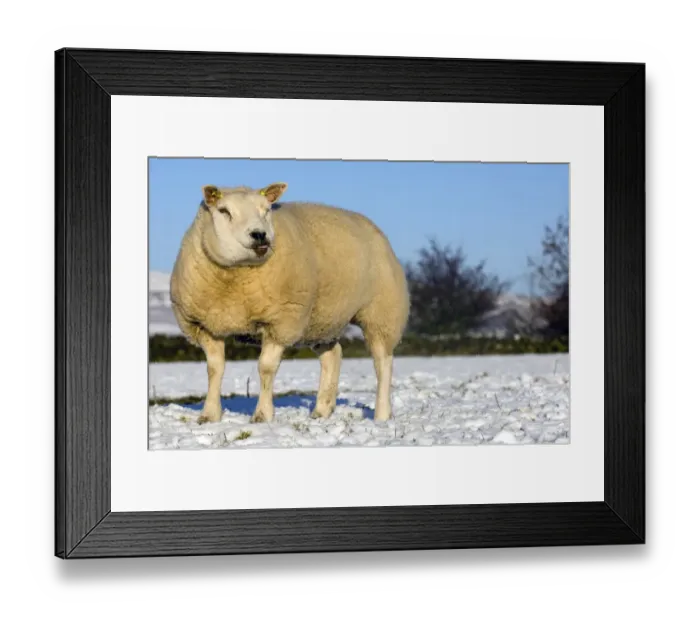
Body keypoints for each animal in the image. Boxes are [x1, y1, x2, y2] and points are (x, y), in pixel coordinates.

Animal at [169, 182, 410, 425]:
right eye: (224, 211)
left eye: (267, 210)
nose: (259, 234)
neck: (236, 280)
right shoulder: (205, 325)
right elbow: (214, 369)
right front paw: (209, 415)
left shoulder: (281, 322)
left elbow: (266, 368)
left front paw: (262, 415)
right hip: (321, 320)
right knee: (333, 355)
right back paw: (321, 411)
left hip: (381, 313)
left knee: (383, 363)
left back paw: (381, 415)